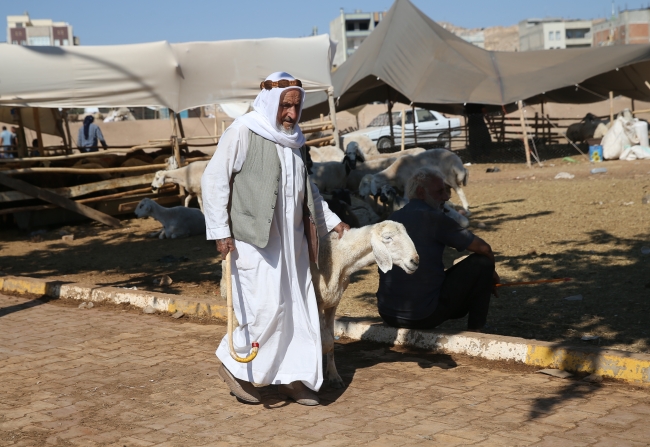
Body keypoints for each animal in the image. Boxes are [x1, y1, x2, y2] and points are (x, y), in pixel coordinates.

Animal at [310, 221, 420, 388]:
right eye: (387, 237)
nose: (415, 261)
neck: (339, 258)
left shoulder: (332, 302)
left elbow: (330, 340)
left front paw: (334, 376)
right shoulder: (316, 302)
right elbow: (325, 340)